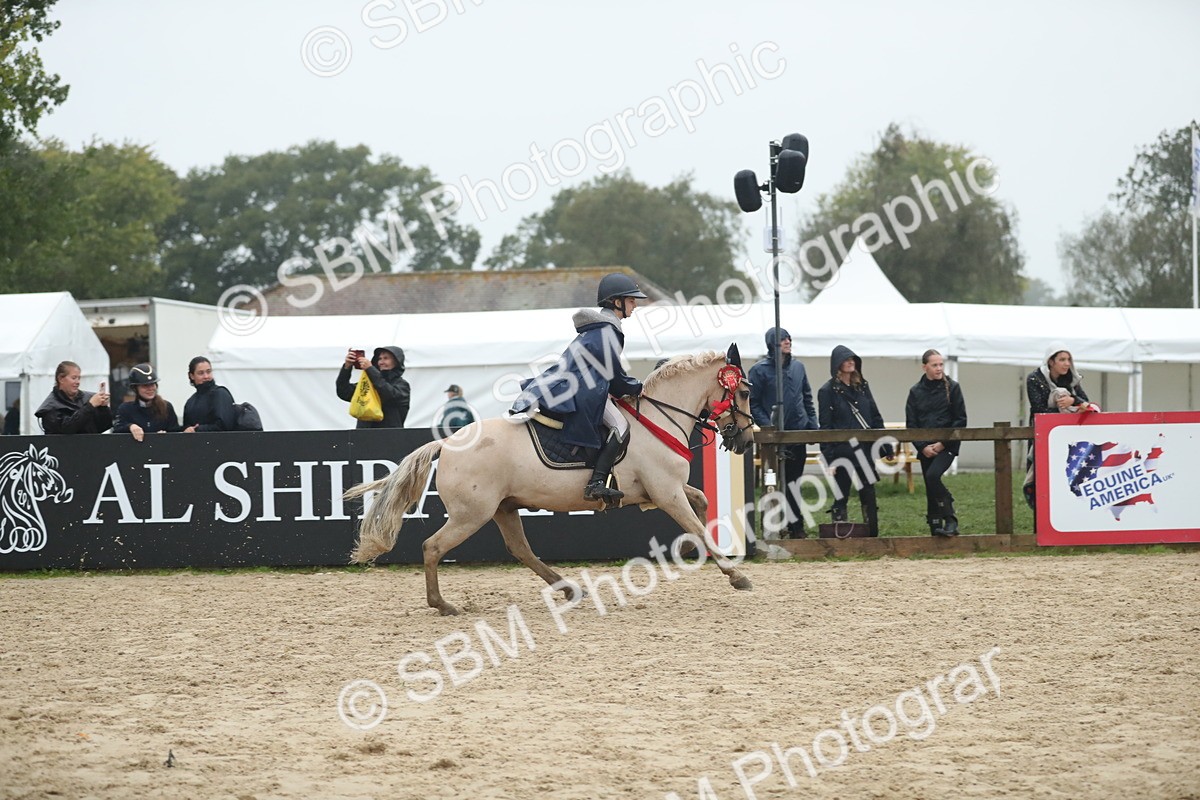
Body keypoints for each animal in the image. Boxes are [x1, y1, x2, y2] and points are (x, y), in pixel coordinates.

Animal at [345, 345, 756, 615]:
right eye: (745, 392)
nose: (746, 440)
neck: (657, 418)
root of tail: (448, 442)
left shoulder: (662, 490)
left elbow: (701, 502)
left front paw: (690, 549)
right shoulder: (666, 491)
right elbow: (697, 522)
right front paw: (735, 575)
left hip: (503, 508)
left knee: (520, 549)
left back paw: (569, 589)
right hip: (471, 515)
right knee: (433, 547)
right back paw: (442, 604)